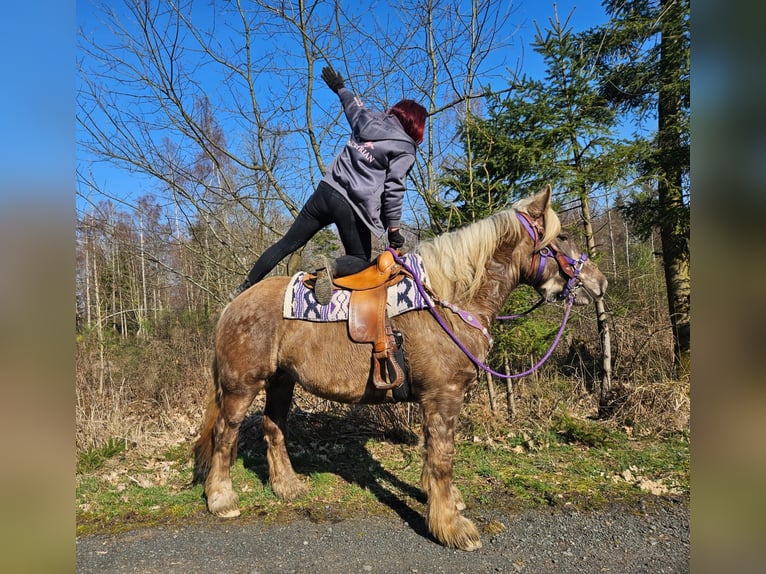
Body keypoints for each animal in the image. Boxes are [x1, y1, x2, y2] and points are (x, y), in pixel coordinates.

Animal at [193, 186, 607, 551]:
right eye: (563, 235)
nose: (599, 282)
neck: (448, 301)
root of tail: (233, 304)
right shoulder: (443, 397)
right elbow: (442, 459)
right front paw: (451, 527)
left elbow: (435, 456)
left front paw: (445, 503)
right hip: (241, 386)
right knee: (225, 435)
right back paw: (221, 498)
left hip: (281, 382)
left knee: (273, 427)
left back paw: (287, 486)